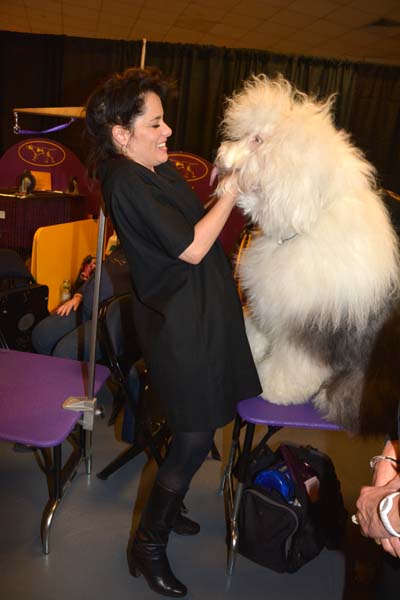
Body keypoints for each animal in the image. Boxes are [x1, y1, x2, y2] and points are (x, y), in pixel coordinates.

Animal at [214, 75, 400, 434]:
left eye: (258, 140)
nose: (219, 157)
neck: (308, 222)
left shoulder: (311, 328)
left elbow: (293, 366)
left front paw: (272, 388)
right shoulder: (272, 304)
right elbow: (257, 331)